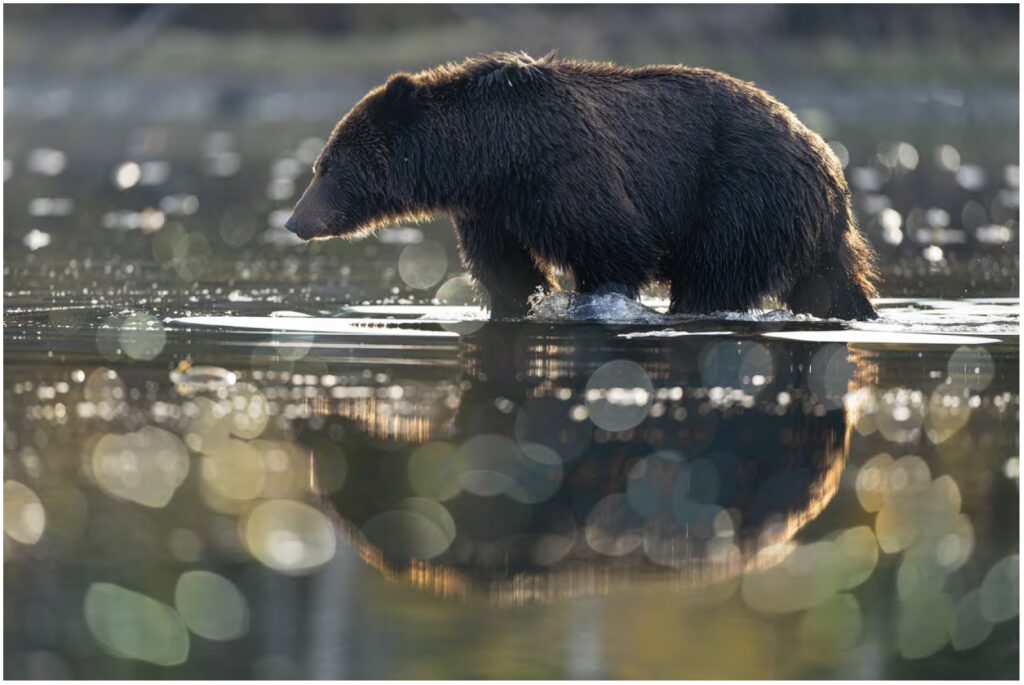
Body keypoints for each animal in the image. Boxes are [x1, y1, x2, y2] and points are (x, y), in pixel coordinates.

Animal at [284, 50, 876, 317]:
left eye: (326, 166)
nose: (294, 220)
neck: (491, 155)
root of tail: (827, 161)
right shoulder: (491, 209)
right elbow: (506, 268)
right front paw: (520, 300)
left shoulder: (563, 172)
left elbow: (615, 245)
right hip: (806, 229)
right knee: (831, 285)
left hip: (741, 195)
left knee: (714, 274)